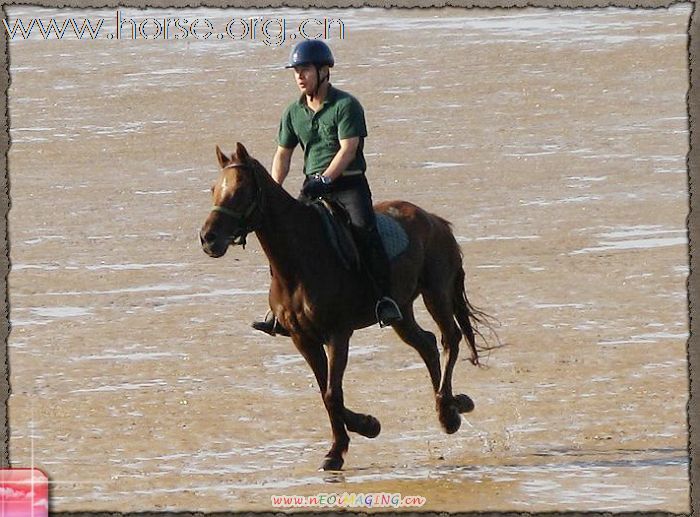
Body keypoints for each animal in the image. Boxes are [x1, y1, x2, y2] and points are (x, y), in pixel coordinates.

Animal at [200, 143, 486, 470]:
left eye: (240, 190)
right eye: (214, 189)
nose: (208, 239)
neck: (298, 261)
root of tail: (436, 221)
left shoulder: (338, 335)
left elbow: (331, 393)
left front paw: (339, 450)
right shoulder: (303, 339)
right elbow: (326, 393)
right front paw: (364, 426)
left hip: (436, 293)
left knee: (450, 338)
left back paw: (448, 412)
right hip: (402, 310)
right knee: (426, 344)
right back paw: (453, 404)